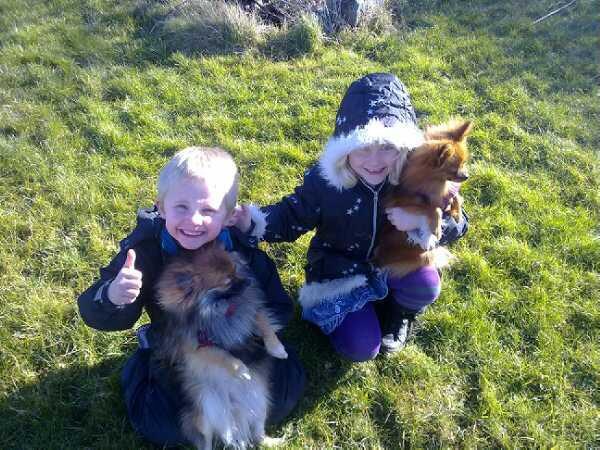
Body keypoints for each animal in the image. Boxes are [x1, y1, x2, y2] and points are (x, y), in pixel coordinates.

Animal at [155, 240, 287, 450]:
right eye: (227, 282)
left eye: (236, 270)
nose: (248, 281)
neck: (221, 310)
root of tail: (235, 409)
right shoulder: (196, 346)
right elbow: (221, 355)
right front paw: (241, 369)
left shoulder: (249, 312)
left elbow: (264, 321)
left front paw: (277, 348)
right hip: (205, 413)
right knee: (206, 442)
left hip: (261, 403)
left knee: (258, 434)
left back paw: (274, 441)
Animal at [374, 120, 472, 278]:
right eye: (454, 169)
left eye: (464, 163)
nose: (466, 176)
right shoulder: (400, 202)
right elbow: (433, 208)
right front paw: (436, 227)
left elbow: (456, 197)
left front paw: (456, 213)